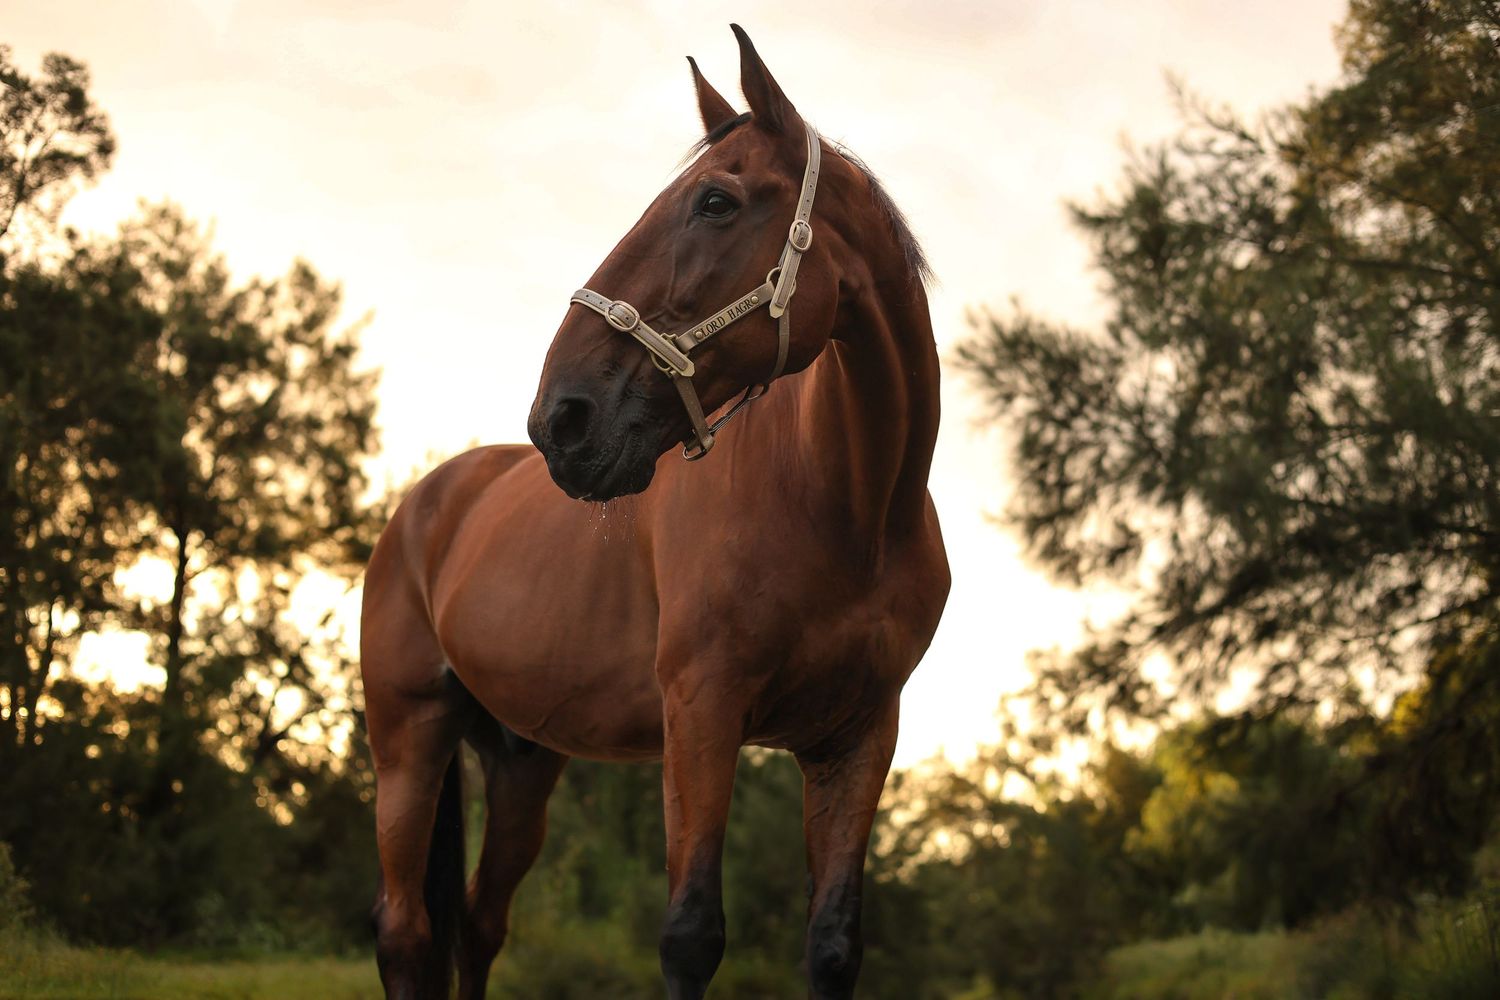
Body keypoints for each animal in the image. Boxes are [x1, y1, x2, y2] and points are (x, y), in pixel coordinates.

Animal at [360, 24, 949, 999]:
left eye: (716, 201)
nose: (562, 419)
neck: (848, 507)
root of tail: (426, 504)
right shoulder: (701, 713)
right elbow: (690, 934)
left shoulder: (857, 738)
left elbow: (832, 943)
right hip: (409, 740)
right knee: (407, 934)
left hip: (521, 763)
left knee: (477, 924)